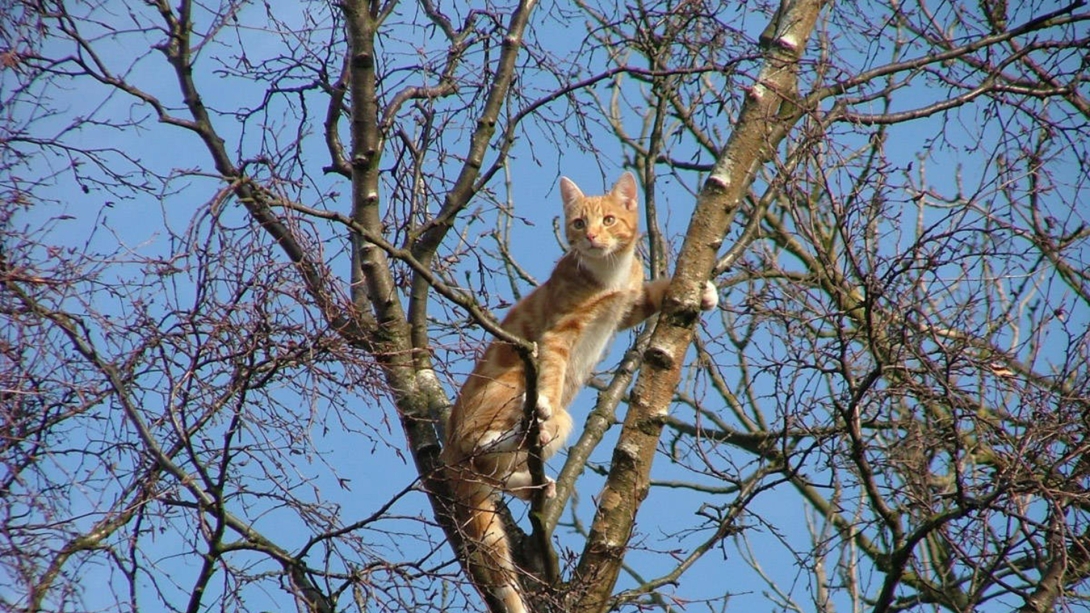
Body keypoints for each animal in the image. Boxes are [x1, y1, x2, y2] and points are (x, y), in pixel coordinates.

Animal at [438, 170, 719, 610]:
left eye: (608, 220)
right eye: (578, 222)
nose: (589, 237)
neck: (609, 274)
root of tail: (448, 440)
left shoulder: (629, 303)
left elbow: (654, 293)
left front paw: (703, 292)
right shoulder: (556, 336)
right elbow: (552, 370)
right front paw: (543, 400)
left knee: (490, 471)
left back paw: (535, 483)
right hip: (506, 392)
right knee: (480, 445)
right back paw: (524, 428)